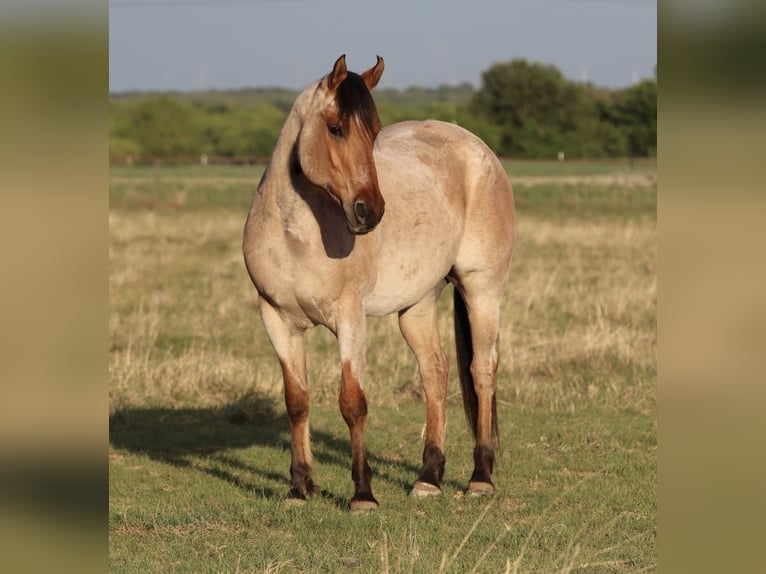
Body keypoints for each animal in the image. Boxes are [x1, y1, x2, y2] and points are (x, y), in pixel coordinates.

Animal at [243, 55, 515, 512]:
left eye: (374, 133)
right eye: (335, 127)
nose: (370, 211)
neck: (295, 232)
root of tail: (478, 149)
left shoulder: (351, 319)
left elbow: (353, 403)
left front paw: (362, 496)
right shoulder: (276, 320)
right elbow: (297, 401)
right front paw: (299, 488)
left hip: (482, 291)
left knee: (481, 371)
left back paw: (480, 476)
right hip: (417, 305)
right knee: (435, 371)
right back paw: (428, 477)